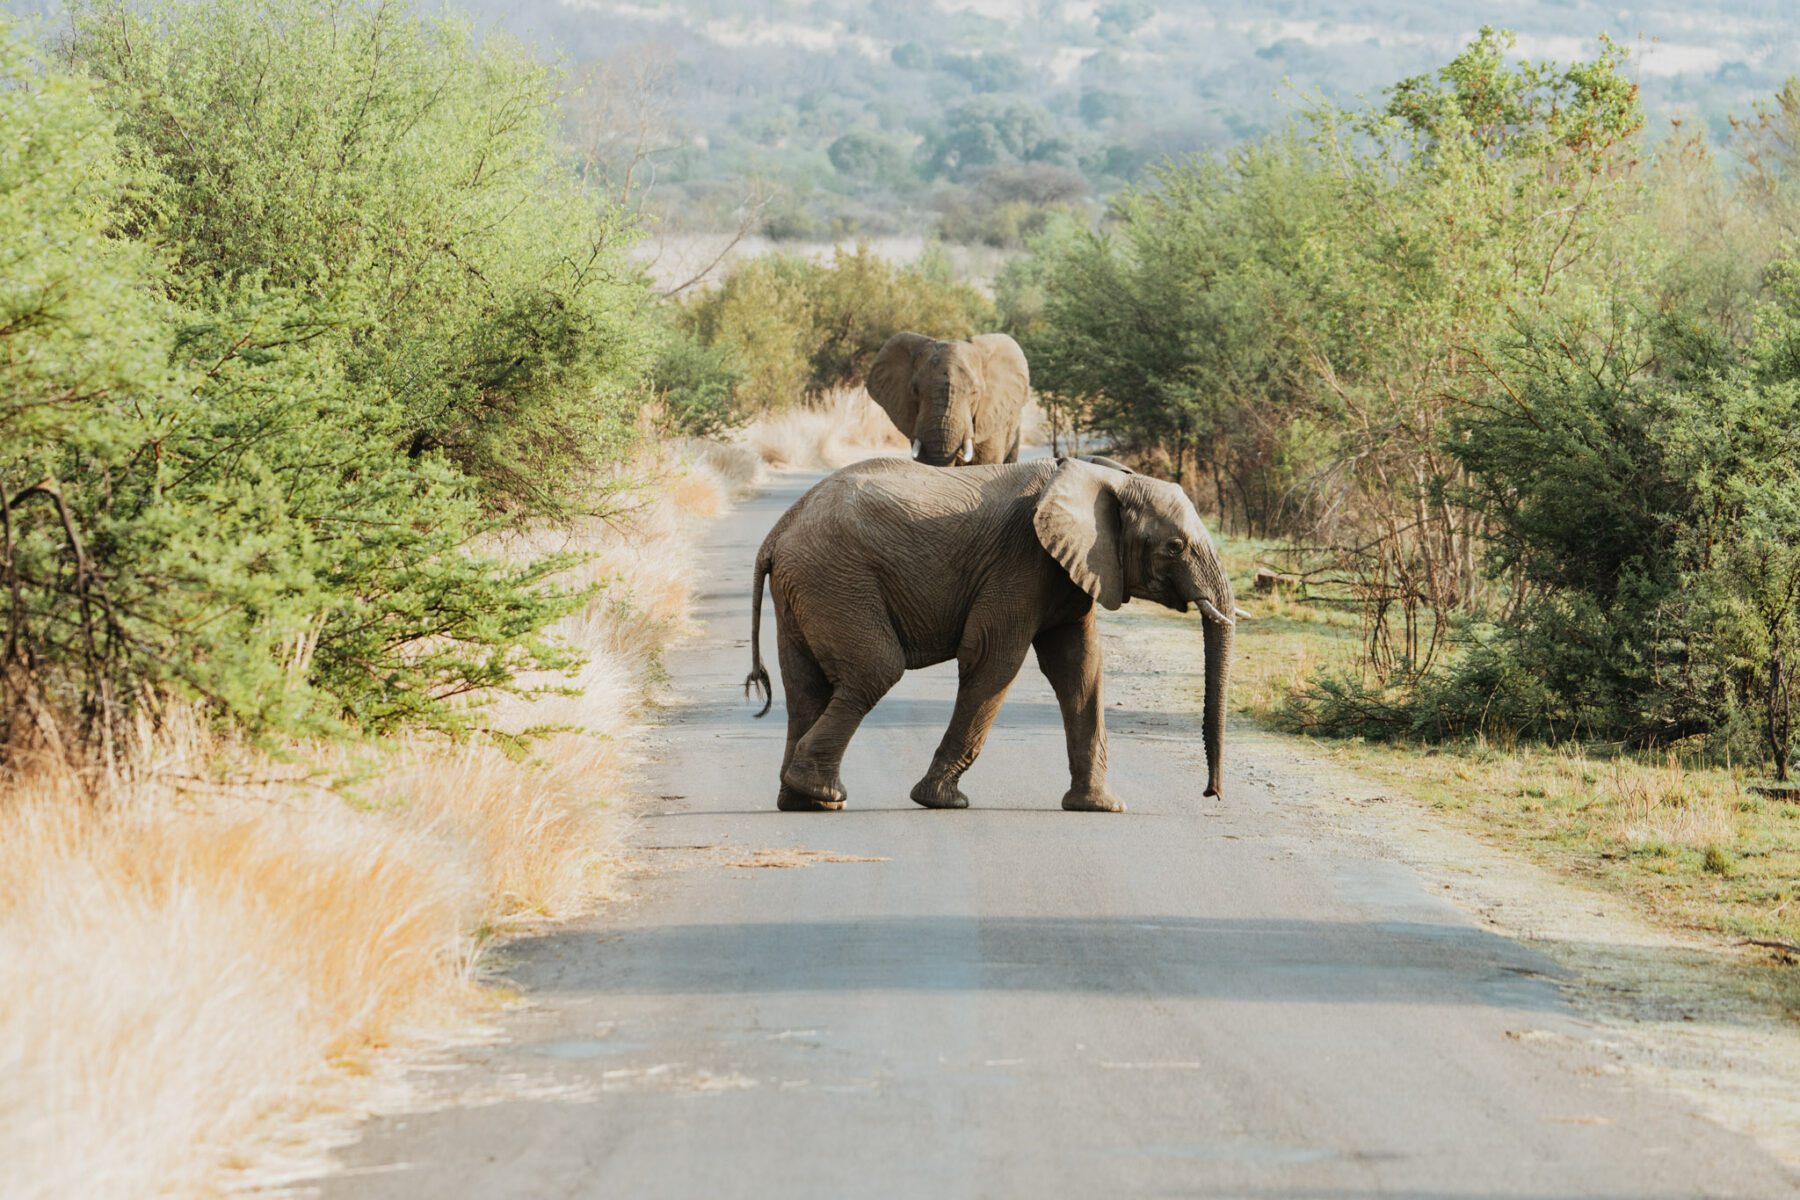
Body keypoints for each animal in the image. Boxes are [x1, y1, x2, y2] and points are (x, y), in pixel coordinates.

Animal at [745, 455, 1238, 813]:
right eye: (1175, 547)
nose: (1211, 794)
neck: (1103, 476)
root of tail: (777, 533)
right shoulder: (1022, 562)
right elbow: (993, 660)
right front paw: (943, 802)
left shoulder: (1070, 573)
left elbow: (1079, 668)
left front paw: (1100, 807)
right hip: (836, 580)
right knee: (875, 670)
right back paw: (823, 794)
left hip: (806, 588)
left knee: (806, 687)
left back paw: (802, 802)